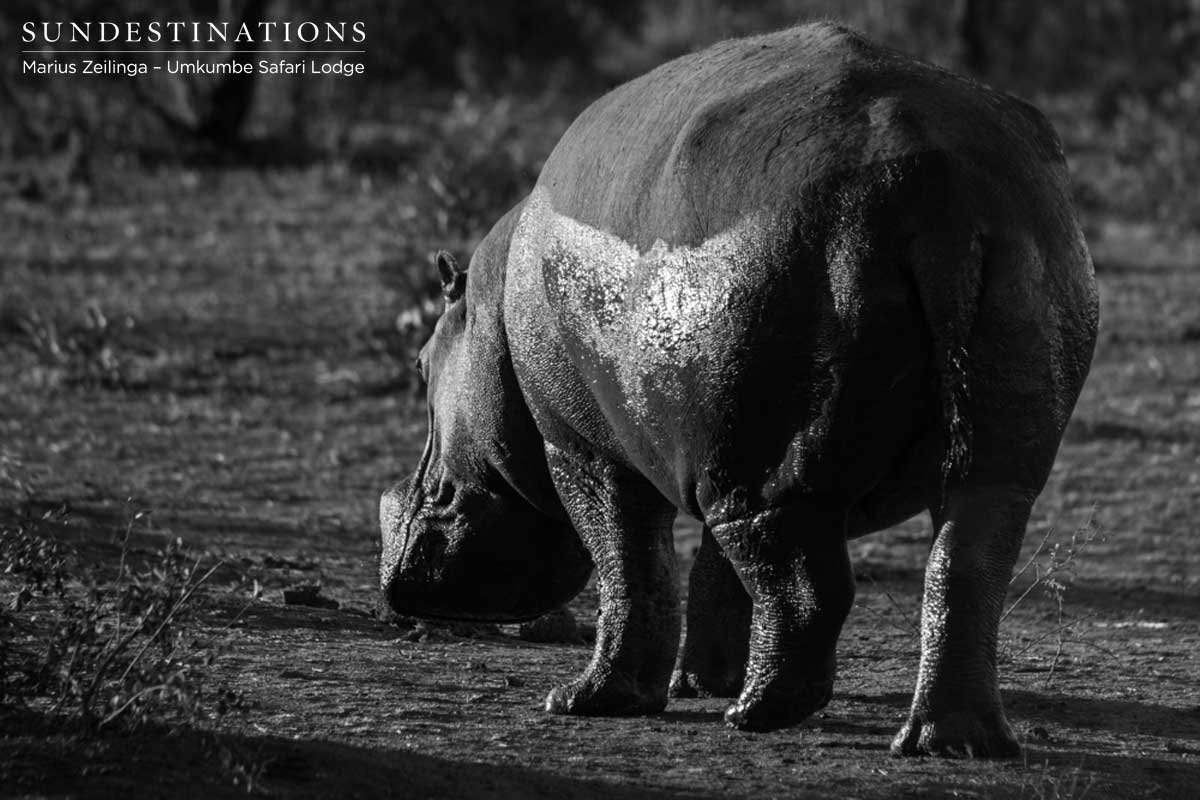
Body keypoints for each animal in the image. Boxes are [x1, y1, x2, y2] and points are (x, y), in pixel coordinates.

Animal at [379, 22, 1098, 758]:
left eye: (419, 366)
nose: (399, 576)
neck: (487, 309)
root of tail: (941, 190)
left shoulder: (583, 449)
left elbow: (630, 565)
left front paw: (586, 702)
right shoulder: (711, 450)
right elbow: (713, 573)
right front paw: (696, 684)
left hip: (764, 440)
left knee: (807, 584)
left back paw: (755, 714)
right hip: (1000, 361)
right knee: (969, 557)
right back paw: (949, 741)